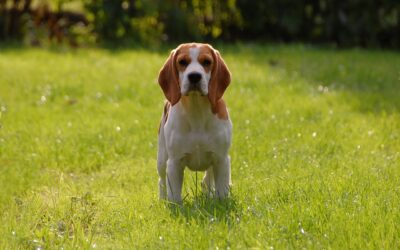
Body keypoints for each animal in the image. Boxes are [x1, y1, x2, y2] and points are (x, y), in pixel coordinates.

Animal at [156, 43, 231, 203]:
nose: (195, 76)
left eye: (207, 62)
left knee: (207, 179)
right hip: (162, 159)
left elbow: (221, 191)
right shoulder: (174, 162)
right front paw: (175, 205)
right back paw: (162, 200)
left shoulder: (221, 159)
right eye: (182, 62)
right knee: (162, 181)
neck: (197, 110)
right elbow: (174, 196)